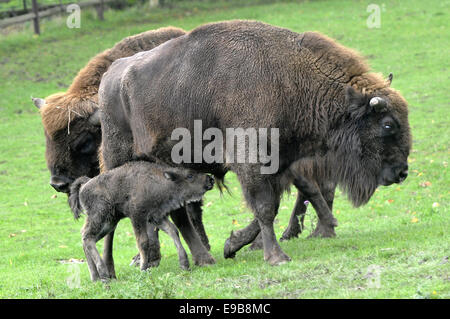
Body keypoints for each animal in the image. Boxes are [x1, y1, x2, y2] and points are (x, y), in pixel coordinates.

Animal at [68, 162, 214, 282]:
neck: (159, 181)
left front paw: (184, 264)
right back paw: (103, 275)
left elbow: (173, 231)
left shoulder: (156, 217)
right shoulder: (137, 217)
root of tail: (84, 185)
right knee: (87, 237)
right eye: (190, 175)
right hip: (100, 216)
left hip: (110, 222)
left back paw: (96, 277)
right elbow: (143, 242)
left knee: (87, 240)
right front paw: (143, 269)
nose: (210, 179)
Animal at [100, 18, 414, 266]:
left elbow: (272, 205)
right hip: (120, 161)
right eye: (388, 124)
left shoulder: (280, 164)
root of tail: (110, 77)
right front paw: (276, 257)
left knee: (179, 213)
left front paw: (233, 244)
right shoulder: (250, 161)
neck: (290, 78)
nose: (401, 172)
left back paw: (204, 258)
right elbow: (264, 207)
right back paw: (116, 268)